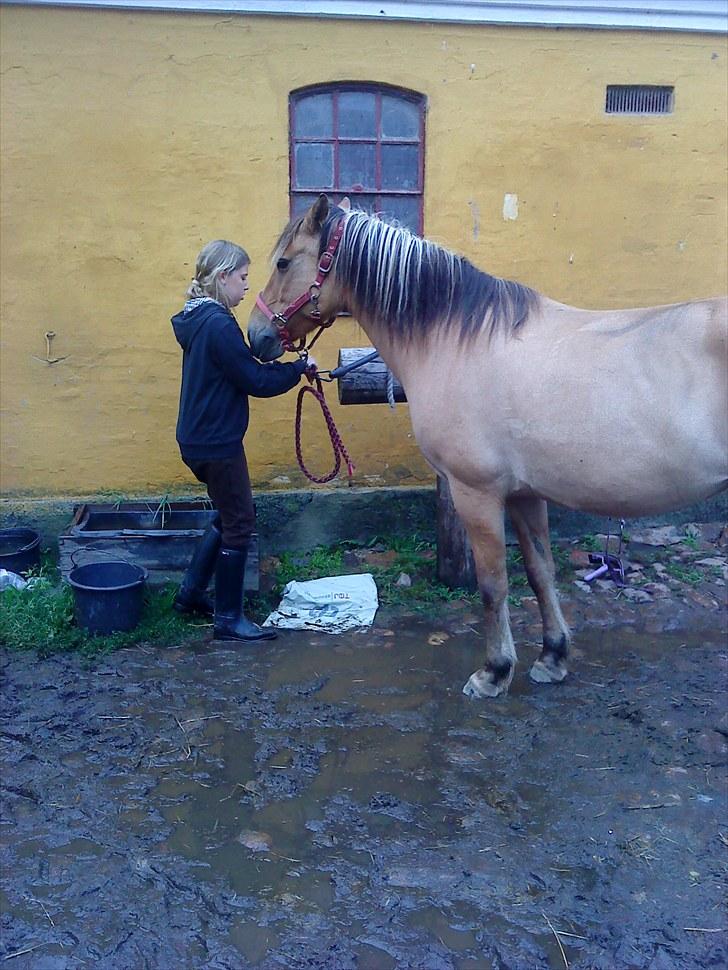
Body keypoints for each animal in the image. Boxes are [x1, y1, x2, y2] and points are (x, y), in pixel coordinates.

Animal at [249, 195, 728, 696]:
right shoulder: (524, 494)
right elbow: (540, 573)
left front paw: (494, 672)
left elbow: (493, 584)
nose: (256, 334)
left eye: (284, 263)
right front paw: (553, 657)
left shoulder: (475, 492)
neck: (458, 340)